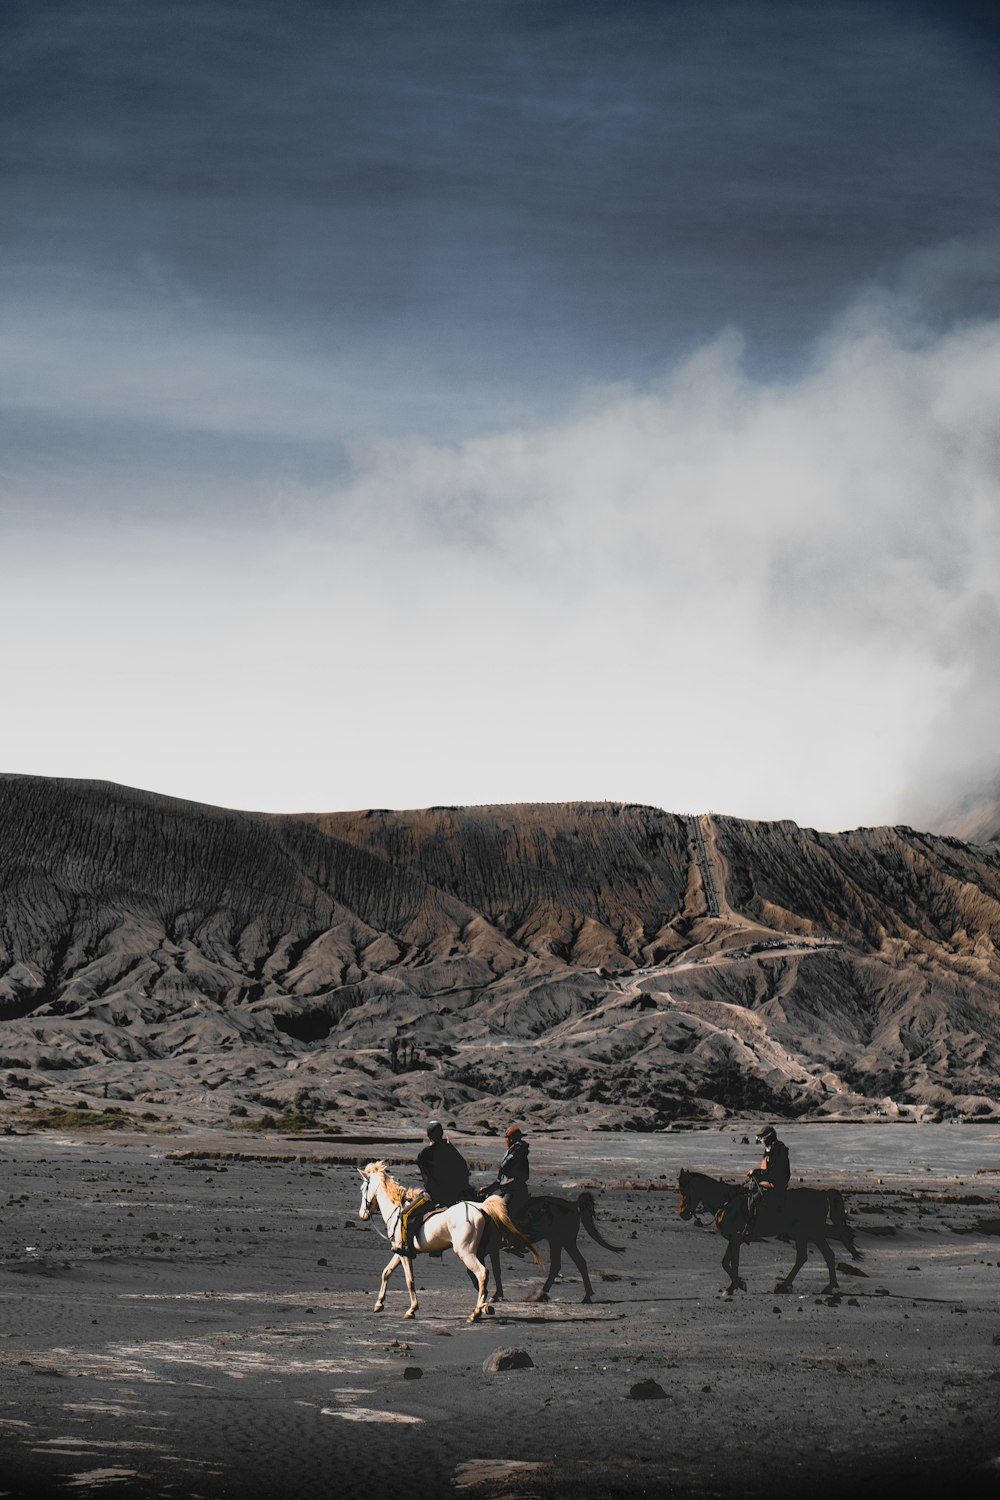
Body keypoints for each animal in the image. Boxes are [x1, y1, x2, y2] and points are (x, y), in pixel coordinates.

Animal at [353, 1158, 539, 1326]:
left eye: (363, 1189)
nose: (362, 1214)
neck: (396, 1211)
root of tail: (481, 1208)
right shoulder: (400, 1251)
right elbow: (386, 1272)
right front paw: (379, 1304)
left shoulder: (405, 1255)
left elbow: (409, 1280)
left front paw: (411, 1310)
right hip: (478, 1252)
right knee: (480, 1278)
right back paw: (484, 1307)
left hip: (465, 1253)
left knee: (482, 1273)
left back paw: (475, 1313)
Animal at [488, 1194, 620, 1302]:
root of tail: (572, 1204)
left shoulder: (492, 1247)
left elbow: (495, 1270)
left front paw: (496, 1296)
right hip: (564, 1242)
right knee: (579, 1263)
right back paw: (586, 1296)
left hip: (558, 1241)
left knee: (559, 1265)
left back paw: (541, 1295)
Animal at [677, 1164, 863, 1296]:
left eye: (686, 1190)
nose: (683, 1213)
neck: (726, 1203)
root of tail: (822, 1193)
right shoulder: (733, 1239)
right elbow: (725, 1262)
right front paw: (738, 1284)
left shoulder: (735, 1239)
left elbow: (732, 1263)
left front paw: (734, 1286)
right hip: (806, 1233)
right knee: (812, 1255)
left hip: (811, 1232)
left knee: (826, 1250)